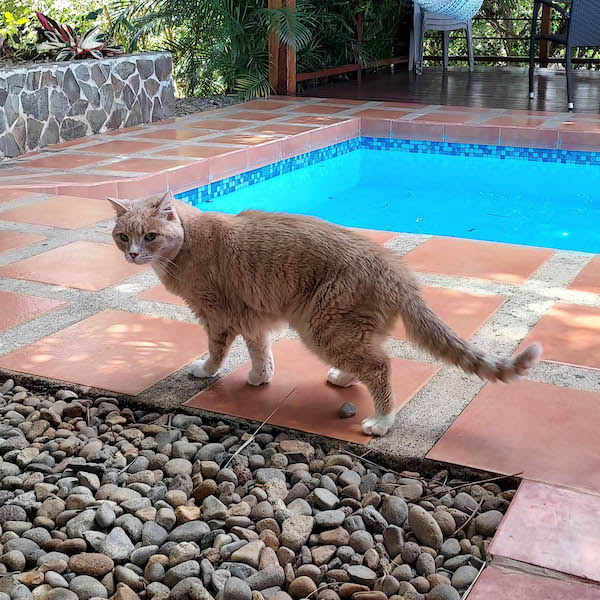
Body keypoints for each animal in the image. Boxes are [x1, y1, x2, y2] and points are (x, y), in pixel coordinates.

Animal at [108, 192, 544, 436]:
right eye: (123, 236)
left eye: (149, 236)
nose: (132, 254)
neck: (188, 241)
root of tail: (397, 271)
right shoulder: (251, 317)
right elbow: (260, 351)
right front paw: (259, 377)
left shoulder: (218, 316)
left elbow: (217, 352)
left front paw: (205, 371)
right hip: (344, 330)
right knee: (367, 360)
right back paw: (344, 377)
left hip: (322, 327)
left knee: (381, 367)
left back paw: (382, 422)